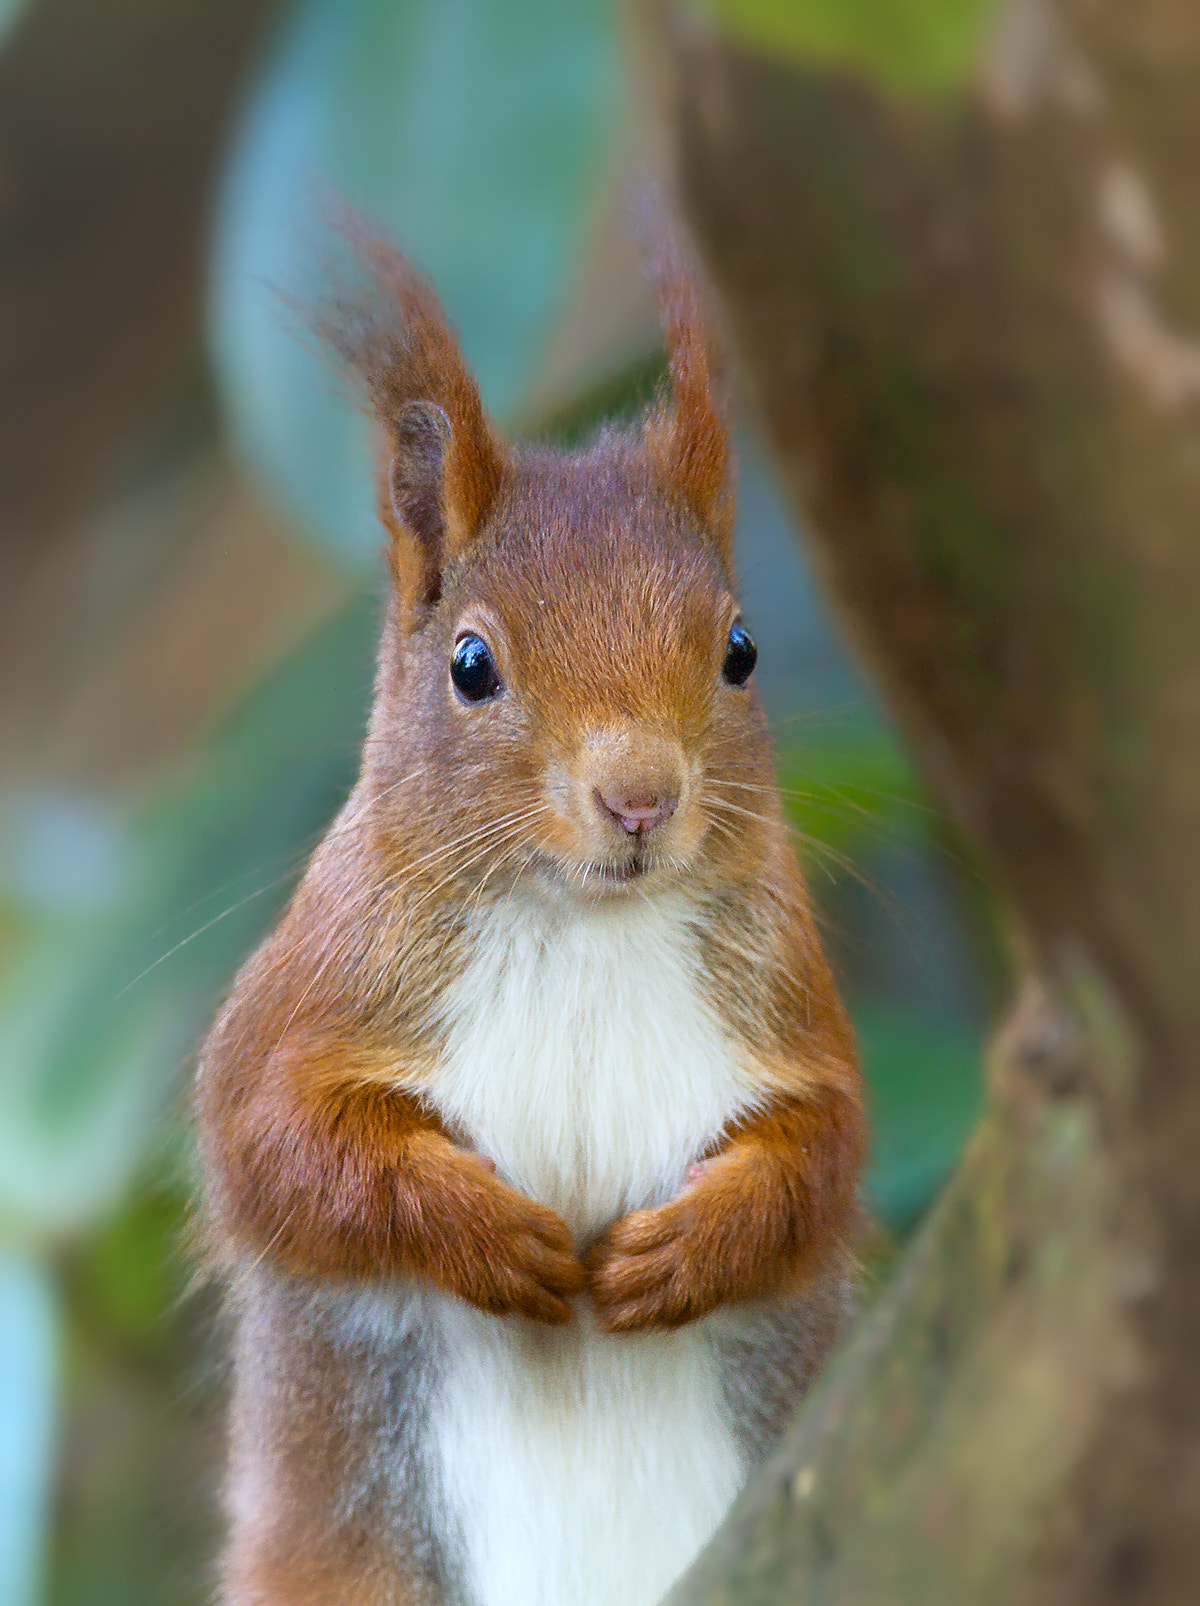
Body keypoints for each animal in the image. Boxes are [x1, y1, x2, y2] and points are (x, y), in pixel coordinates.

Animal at [195, 220, 865, 1606]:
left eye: (741, 650)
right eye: (471, 665)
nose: (639, 796)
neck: (582, 928)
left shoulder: (785, 1003)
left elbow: (820, 1158)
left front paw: (684, 1250)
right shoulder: (311, 994)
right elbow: (276, 1147)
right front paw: (488, 1236)